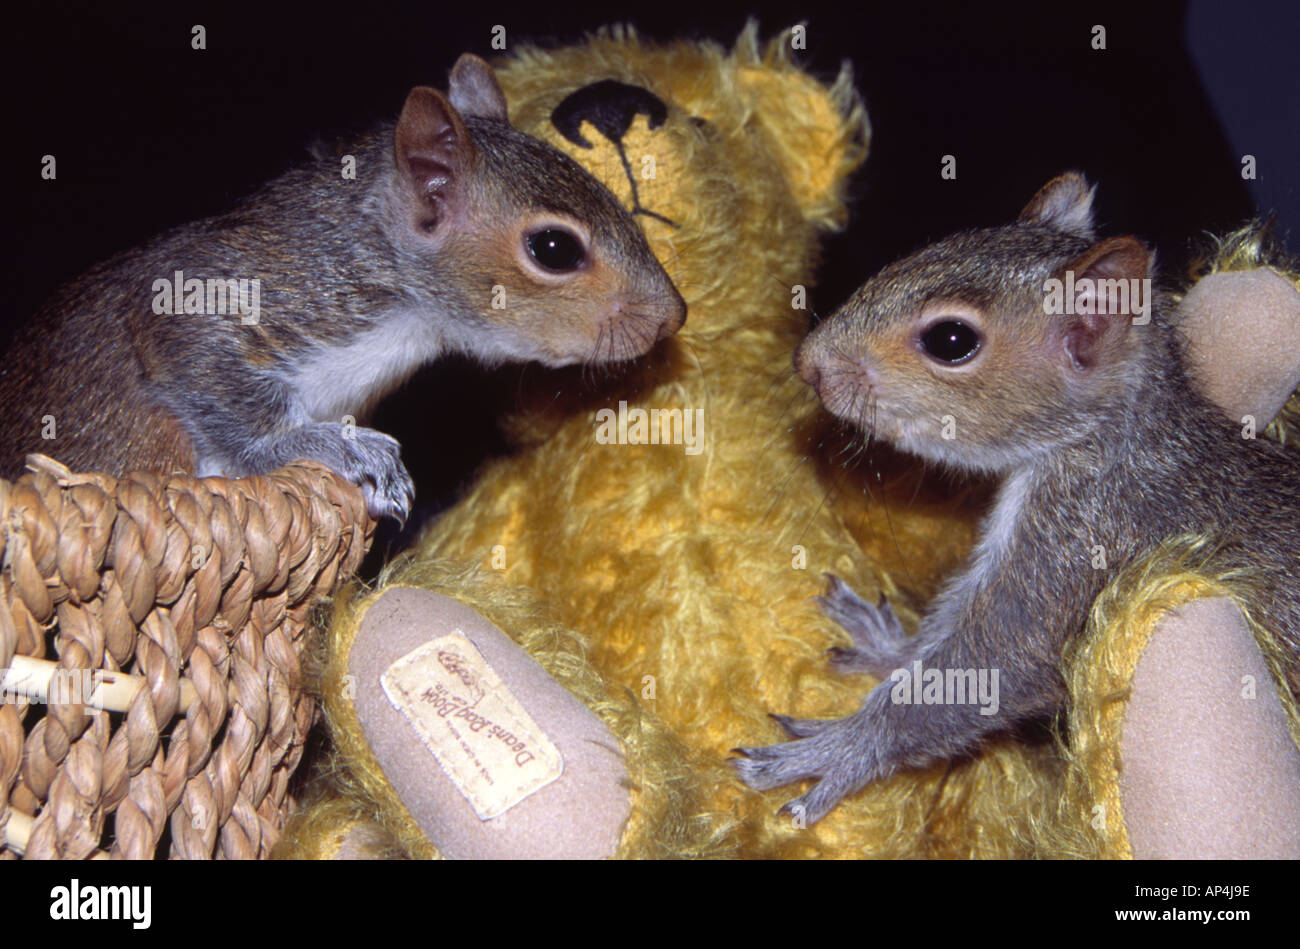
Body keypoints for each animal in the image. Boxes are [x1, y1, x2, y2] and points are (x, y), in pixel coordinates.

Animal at [733, 174, 1300, 826]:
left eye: (951, 340)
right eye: (924, 251)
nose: (807, 364)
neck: (1103, 441)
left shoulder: (1081, 549)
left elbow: (991, 666)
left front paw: (841, 751)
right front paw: (891, 645)